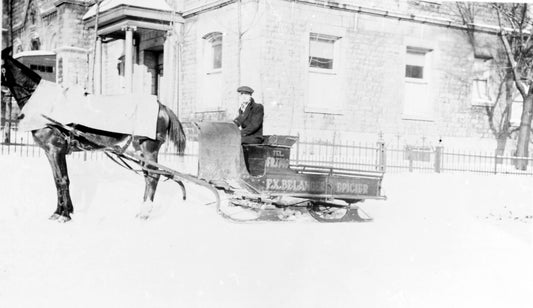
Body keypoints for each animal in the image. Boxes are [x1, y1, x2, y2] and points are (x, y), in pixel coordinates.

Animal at [0, 47, 187, 221]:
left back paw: (144, 213)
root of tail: (161, 105)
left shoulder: (56, 150)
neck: (44, 104)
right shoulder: (51, 152)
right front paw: (61, 211)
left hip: (149, 148)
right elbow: (58, 180)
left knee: (153, 177)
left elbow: (62, 180)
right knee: (148, 176)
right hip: (140, 150)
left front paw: (64, 215)